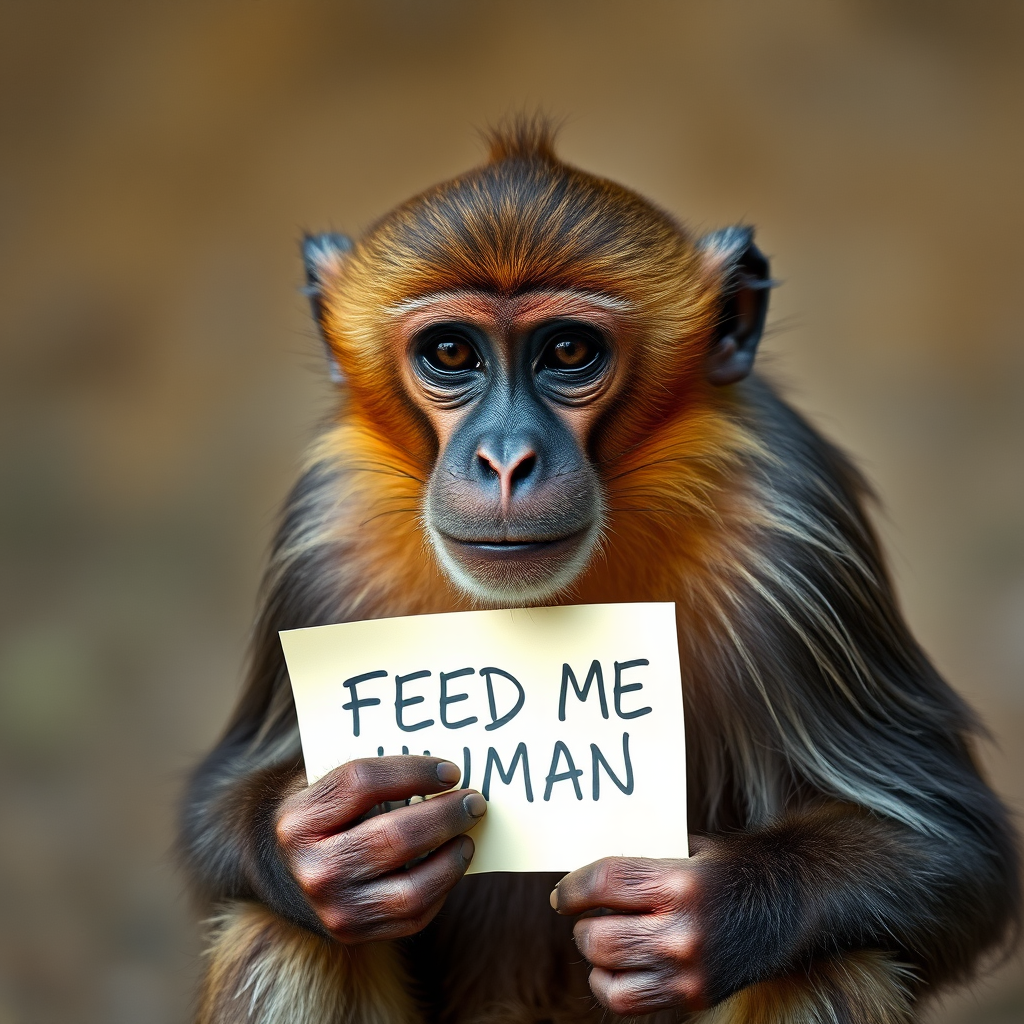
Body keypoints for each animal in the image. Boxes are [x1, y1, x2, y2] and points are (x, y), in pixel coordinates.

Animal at [180, 120, 1020, 1024]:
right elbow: (215, 812)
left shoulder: (797, 530)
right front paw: (326, 849)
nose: (505, 461)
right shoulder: (325, 531)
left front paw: (706, 914)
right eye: (451, 351)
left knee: (827, 964)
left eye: (569, 350)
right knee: (283, 930)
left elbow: (954, 849)